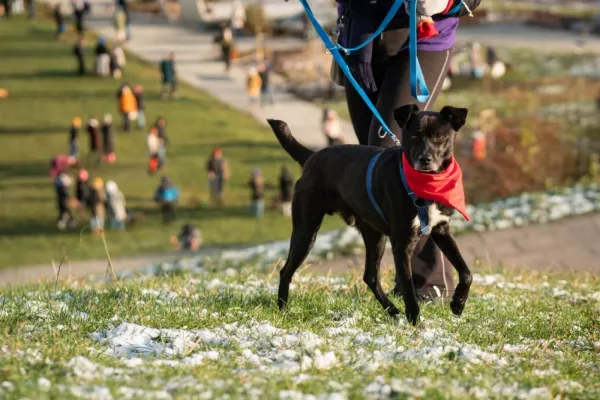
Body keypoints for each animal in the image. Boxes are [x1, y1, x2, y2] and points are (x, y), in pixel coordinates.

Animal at [268, 104, 474, 324]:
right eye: (414, 136)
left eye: (439, 137)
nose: (424, 160)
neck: (426, 184)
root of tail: (311, 157)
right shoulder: (402, 243)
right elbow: (408, 288)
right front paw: (415, 323)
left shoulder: (441, 230)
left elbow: (466, 272)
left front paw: (458, 303)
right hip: (306, 231)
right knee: (286, 270)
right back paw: (283, 310)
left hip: (374, 235)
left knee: (370, 277)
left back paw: (393, 311)